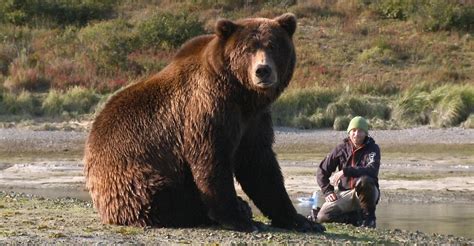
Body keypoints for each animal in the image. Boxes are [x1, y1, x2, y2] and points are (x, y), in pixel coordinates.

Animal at [83, 13, 324, 233]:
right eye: (248, 49)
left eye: (272, 46)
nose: (262, 70)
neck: (242, 94)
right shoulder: (207, 110)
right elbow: (212, 159)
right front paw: (239, 219)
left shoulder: (254, 120)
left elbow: (260, 165)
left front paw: (301, 221)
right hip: (133, 178)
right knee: (166, 197)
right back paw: (231, 208)